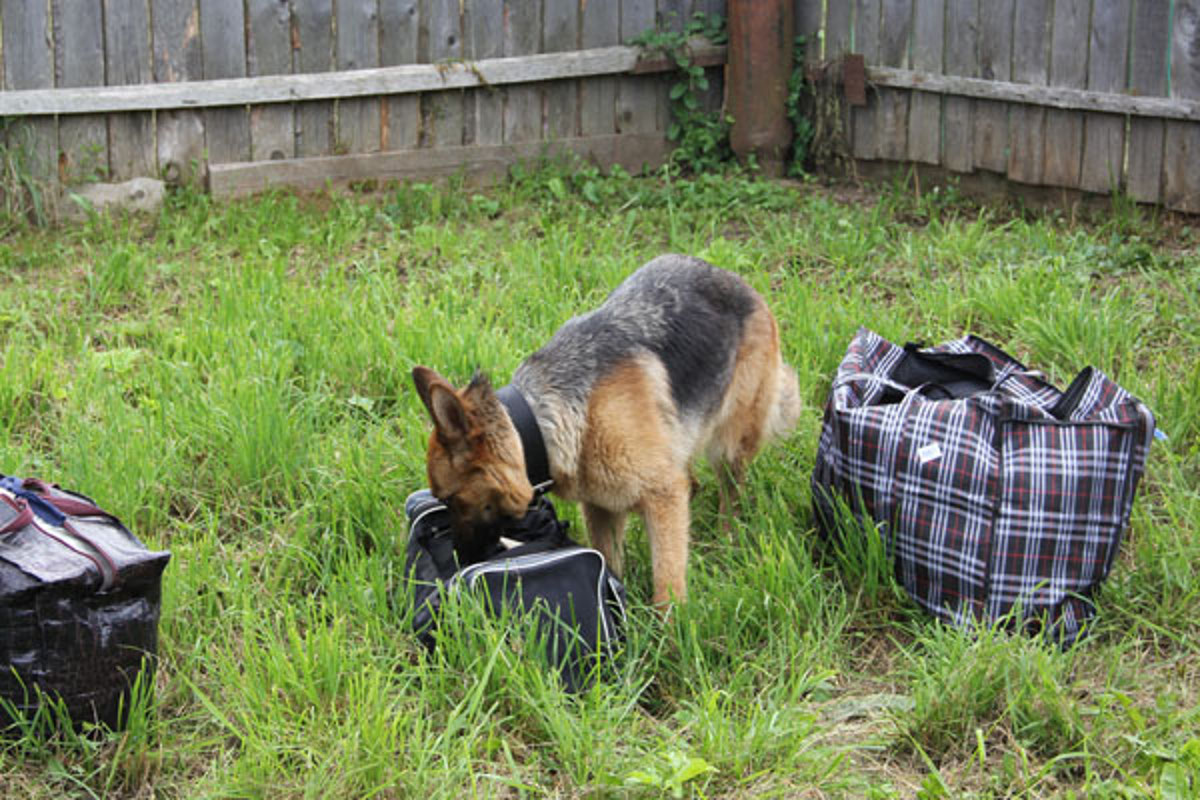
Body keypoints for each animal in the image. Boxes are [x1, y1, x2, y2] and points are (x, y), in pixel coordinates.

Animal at [410, 255, 796, 606]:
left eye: (451, 499)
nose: (459, 560)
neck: (544, 422)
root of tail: (738, 282)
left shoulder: (662, 498)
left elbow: (667, 582)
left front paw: (669, 632)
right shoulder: (602, 508)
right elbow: (609, 561)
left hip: (728, 447)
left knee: (730, 491)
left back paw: (727, 536)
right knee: (692, 479)